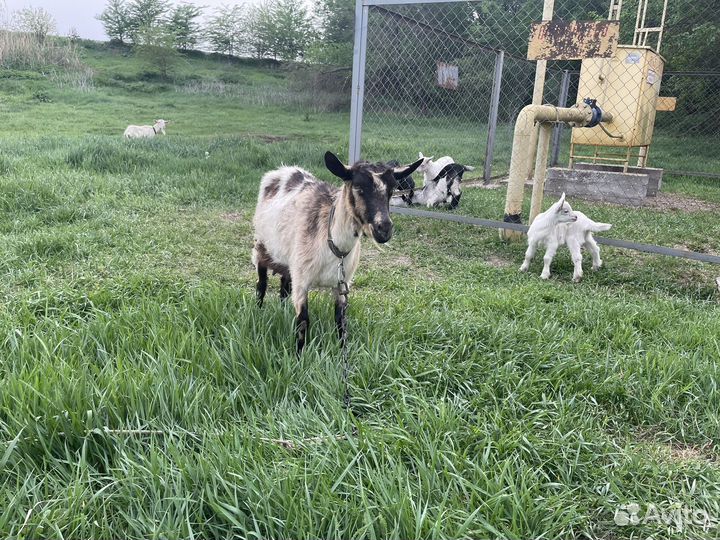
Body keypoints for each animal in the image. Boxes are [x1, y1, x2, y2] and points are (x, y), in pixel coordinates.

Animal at [252, 151, 423, 353]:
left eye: (391, 190)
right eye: (358, 187)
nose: (384, 229)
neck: (333, 246)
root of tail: (283, 169)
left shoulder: (342, 283)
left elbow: (341, 321)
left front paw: (343, 351)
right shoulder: (302, 280)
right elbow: (303, 322)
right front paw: (298, 355)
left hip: (289, 258)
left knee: (284, 286)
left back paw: (283, 310)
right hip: (261, 245)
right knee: (262, 284)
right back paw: (259, 311)